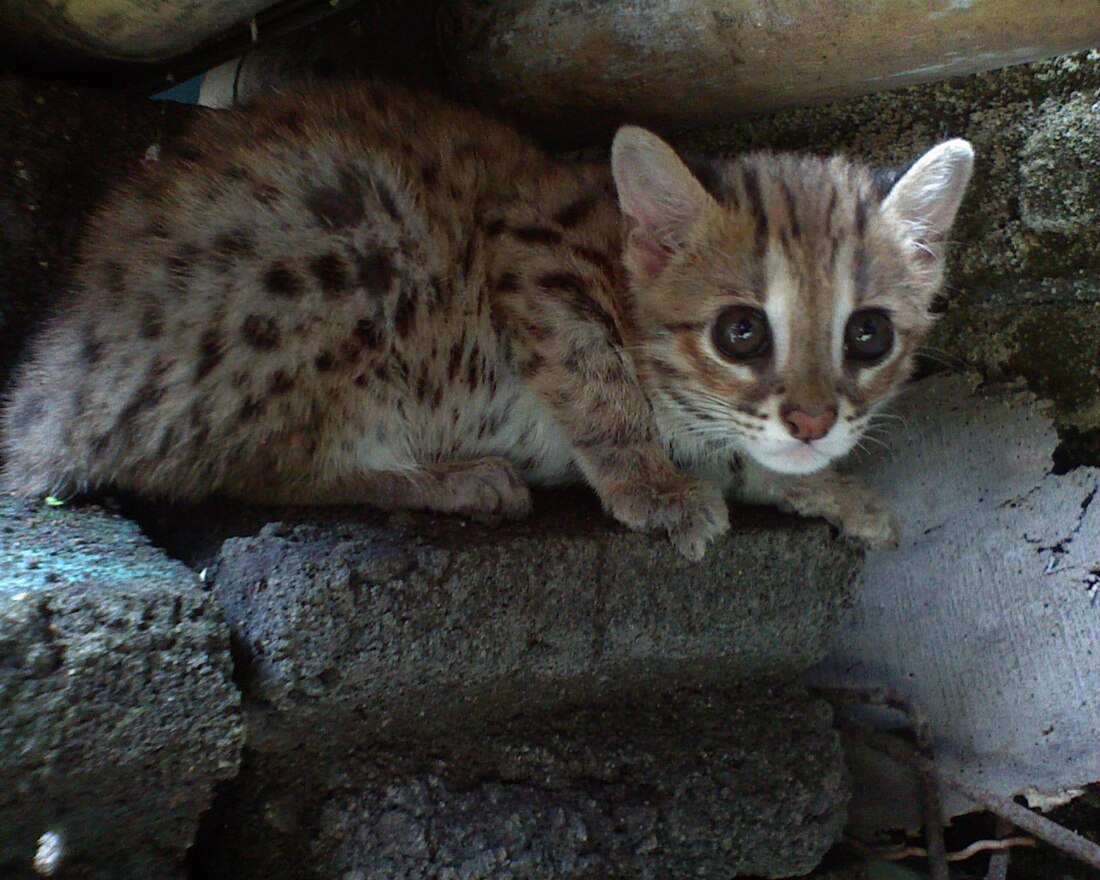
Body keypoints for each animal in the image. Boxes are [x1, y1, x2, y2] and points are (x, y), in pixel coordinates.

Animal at [0, 80, 972, 556]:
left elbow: (745, 455)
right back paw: (445, 479)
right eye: (741, 332)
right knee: (253, 468)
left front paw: (819, 487)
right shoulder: (532, 255)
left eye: (869, 335)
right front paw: (652, 486)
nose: (811, 422)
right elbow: (596, 383)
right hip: (354, 235)